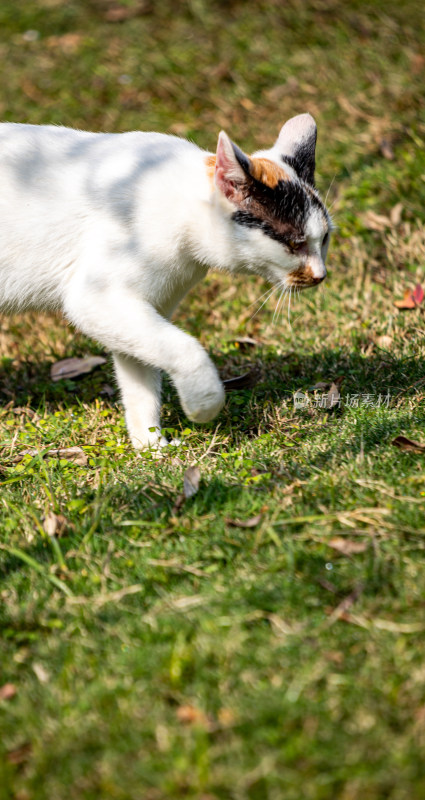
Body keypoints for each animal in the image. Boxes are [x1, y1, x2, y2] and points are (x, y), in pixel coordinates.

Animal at [0, 112, 330, 450]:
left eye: (324, 239)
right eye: (294, 243)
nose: (321, 275)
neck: (180, 206)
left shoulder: (144, 308)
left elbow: (142, 379)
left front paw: (150, 446)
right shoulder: (96, 300)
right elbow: (186, 348)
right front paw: (203, 403)